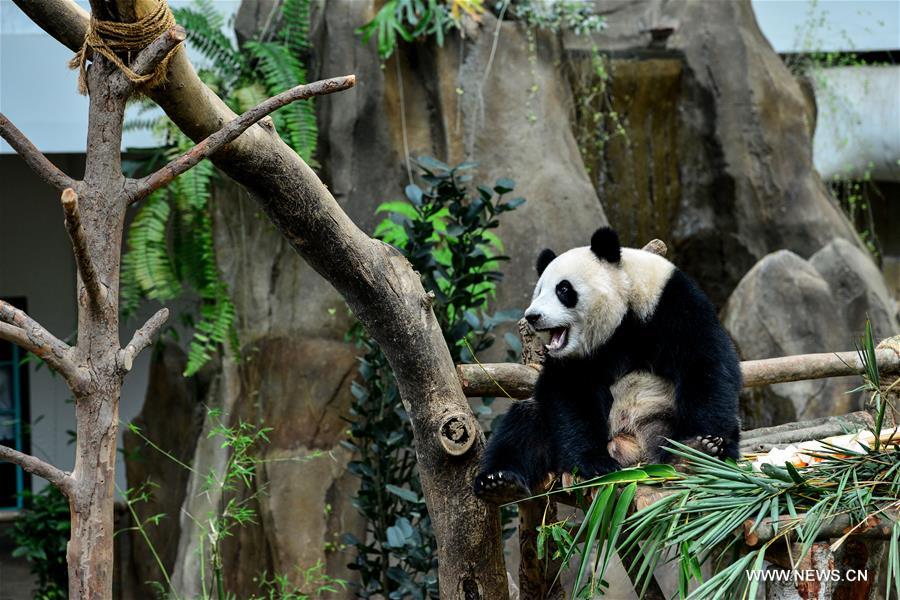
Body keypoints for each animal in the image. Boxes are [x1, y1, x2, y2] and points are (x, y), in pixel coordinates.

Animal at [474, 227, 742, 502]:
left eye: (563, 289)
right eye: (538, 291)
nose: (533, 316)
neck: (624, 312)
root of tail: (633, 452)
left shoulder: (673, 305)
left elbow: (704, 366)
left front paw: (699, 445)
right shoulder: (577, 357)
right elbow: (571, 394)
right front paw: (594, 463)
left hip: (662, 414)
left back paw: (689, 455)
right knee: (525, 424)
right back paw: (499, 482)